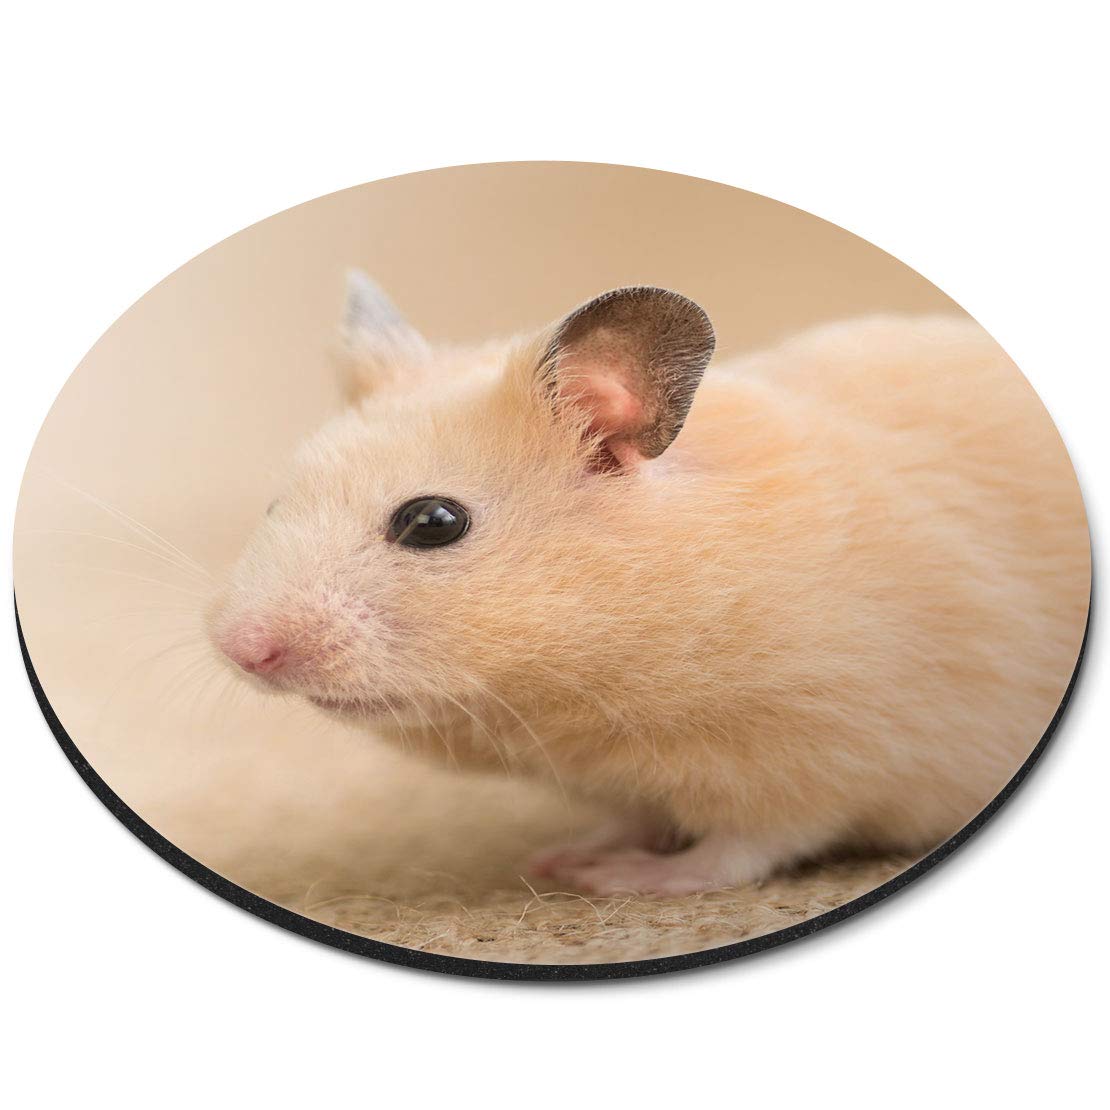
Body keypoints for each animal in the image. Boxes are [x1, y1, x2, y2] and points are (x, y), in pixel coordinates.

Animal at [207, 272, 1089, 896]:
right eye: (275, 503)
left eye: (433, 522)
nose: (243, 650)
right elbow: (636, 817)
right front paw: (564, 855)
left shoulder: (831, 747)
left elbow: (747, 845)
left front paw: (613, 877)